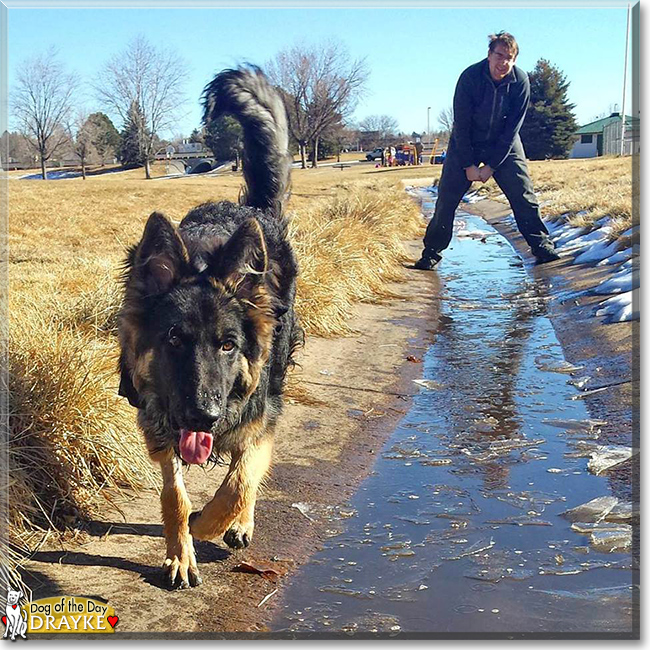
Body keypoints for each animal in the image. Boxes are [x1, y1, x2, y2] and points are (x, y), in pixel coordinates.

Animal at [117, 66, 300, 588]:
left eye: (228, 345)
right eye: (174, 339)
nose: (205, 417)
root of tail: (253, 212)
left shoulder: (259, 412)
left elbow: (240, 481)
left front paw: (213, 522)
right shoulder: (159, 421)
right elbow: (175, 496)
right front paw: (181, 552)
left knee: (245, 468)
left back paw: (238, 523)